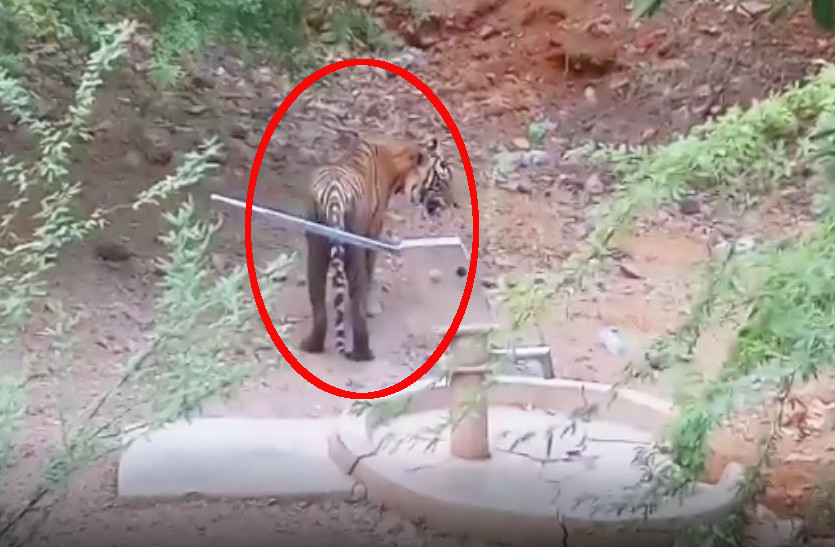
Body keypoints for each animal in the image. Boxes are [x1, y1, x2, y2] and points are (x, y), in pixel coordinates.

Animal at [298, 133, 455, 362]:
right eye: (441, 182)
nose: (453, 204)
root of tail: (333, 195)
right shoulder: (373, 232)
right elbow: (370, 272)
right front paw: (371, 307)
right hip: (353, 249)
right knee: (356, 301)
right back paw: (363, 352)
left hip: (315, 250)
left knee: (318, 302)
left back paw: (312, 346)